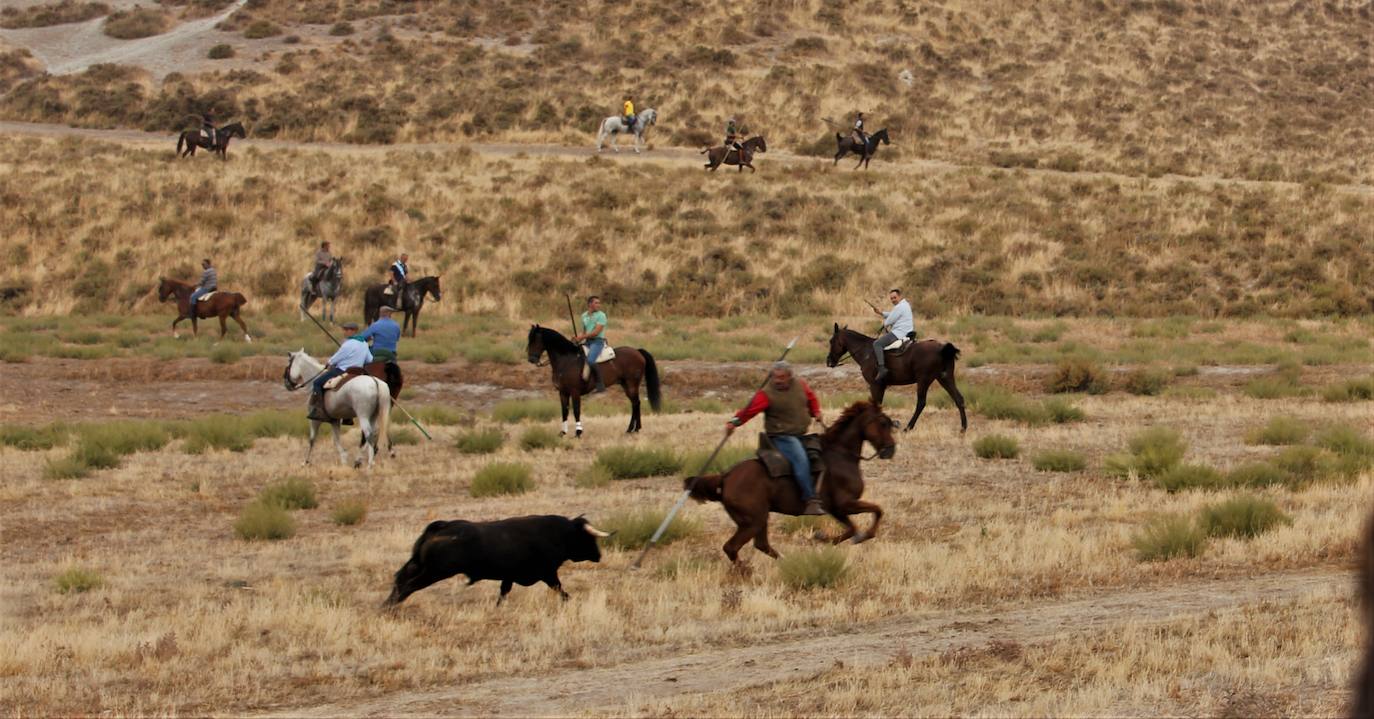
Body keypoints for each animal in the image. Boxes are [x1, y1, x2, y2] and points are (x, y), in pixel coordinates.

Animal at [381, 514, 612, 604]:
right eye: (587, 537)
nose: (599, 555)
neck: (558, 534)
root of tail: (442, 526)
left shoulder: (509, 576)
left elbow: (503, 593)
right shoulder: (548, 573)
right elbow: (560, 589)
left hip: (418, 566)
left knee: (400, 580)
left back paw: (386, 605)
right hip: (433, 572)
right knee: (408, 586)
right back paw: (392, 607)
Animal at [519, 324, 659, 437]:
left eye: (535, 339)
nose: (531, 359)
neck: (566, 361)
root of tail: (637, 352)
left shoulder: (575, 392)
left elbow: (576, 410)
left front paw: (578, 432)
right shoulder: (563, 392)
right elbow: (564, 411)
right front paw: (563, 432)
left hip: (631, 384)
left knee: (636, 403)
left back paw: (634, 429)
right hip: (626, 385)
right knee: (635, 403)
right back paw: (632, 429)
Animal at [687, 401, 901, 566]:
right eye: (883, 423)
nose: (890, 450)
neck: (842, 454)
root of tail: (726, 477)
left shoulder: (836, 509)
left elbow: (853, 528)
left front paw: (824, 539)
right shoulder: (845, 504)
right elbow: (876, 511)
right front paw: (828, 538)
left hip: (759, 519)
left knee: (760, 545)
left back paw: (784, 562)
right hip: (752, 521)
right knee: (731, 547)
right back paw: (746, 571)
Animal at [824, 324, 967, 434]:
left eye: (831, 341)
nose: (829, 361)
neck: (866, 352)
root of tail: (942, 348)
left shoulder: (875, 385)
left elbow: (876, 404)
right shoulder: (881, 386)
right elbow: (878, 404)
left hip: (924, 380)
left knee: (921, 403)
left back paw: (908, 427)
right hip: (945, 378)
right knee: (958, 399)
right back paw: (963, 428)